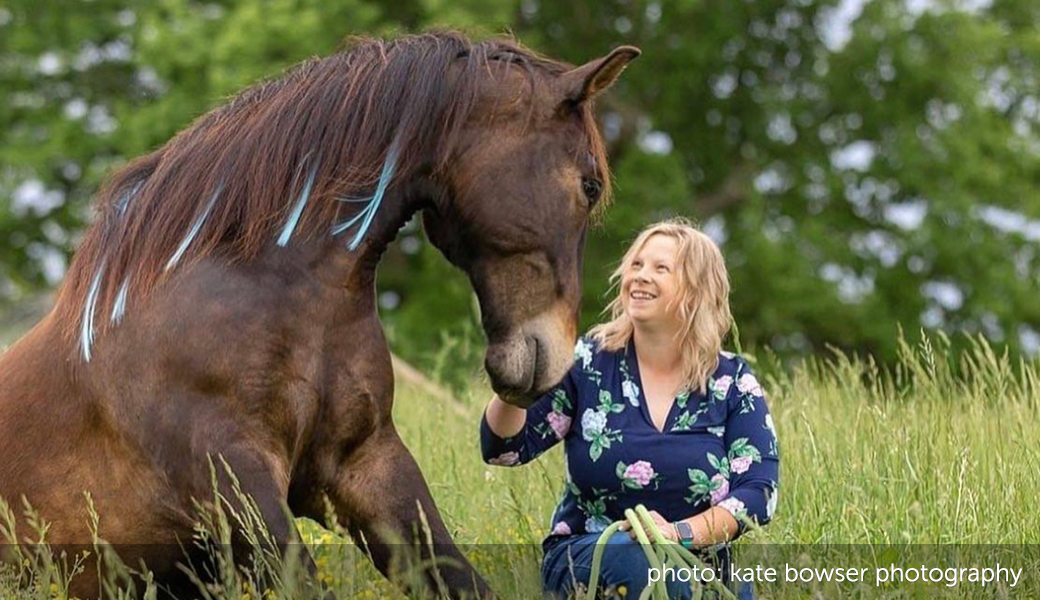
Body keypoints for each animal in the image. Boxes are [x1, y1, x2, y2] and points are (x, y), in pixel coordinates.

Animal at [0, 33, 632, 598]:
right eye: (589, 184)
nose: (553, 360)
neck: (281, 293)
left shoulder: (365, 466)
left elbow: (457, 576)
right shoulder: (233, 482)